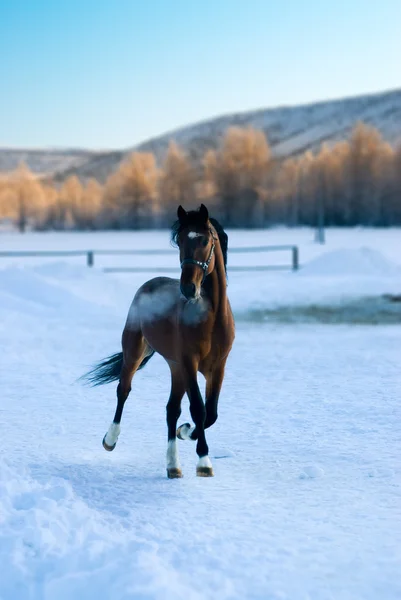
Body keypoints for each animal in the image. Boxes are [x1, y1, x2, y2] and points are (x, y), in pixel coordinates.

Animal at [83, 205, 234, 478]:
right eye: (180, 240)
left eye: (204, 241)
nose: (188, 289)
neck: (212, 318)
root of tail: (148, 284)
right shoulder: (189, 363)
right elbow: (199, 410)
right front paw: (203, 461)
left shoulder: (217, 367)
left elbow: (211, 414)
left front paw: (185, 432)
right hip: (135, 350)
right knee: (123, 390)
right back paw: (110, 440)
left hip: (175, 367)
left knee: (171, 409)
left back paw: (173, 465)